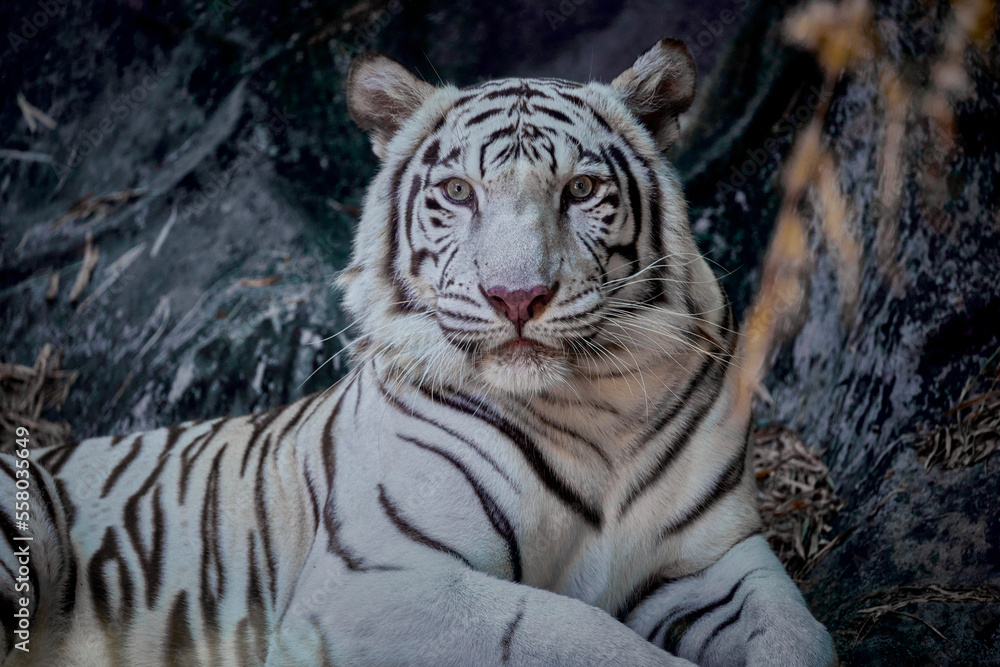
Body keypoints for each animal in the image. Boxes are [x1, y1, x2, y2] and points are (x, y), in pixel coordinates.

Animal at [0, 38, 837, 666]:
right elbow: (582, 635)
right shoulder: (378, 582)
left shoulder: (713, 560)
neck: (593, 406)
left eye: (581, 190)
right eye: (460, 193)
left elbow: (799, 631)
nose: (517, 297)